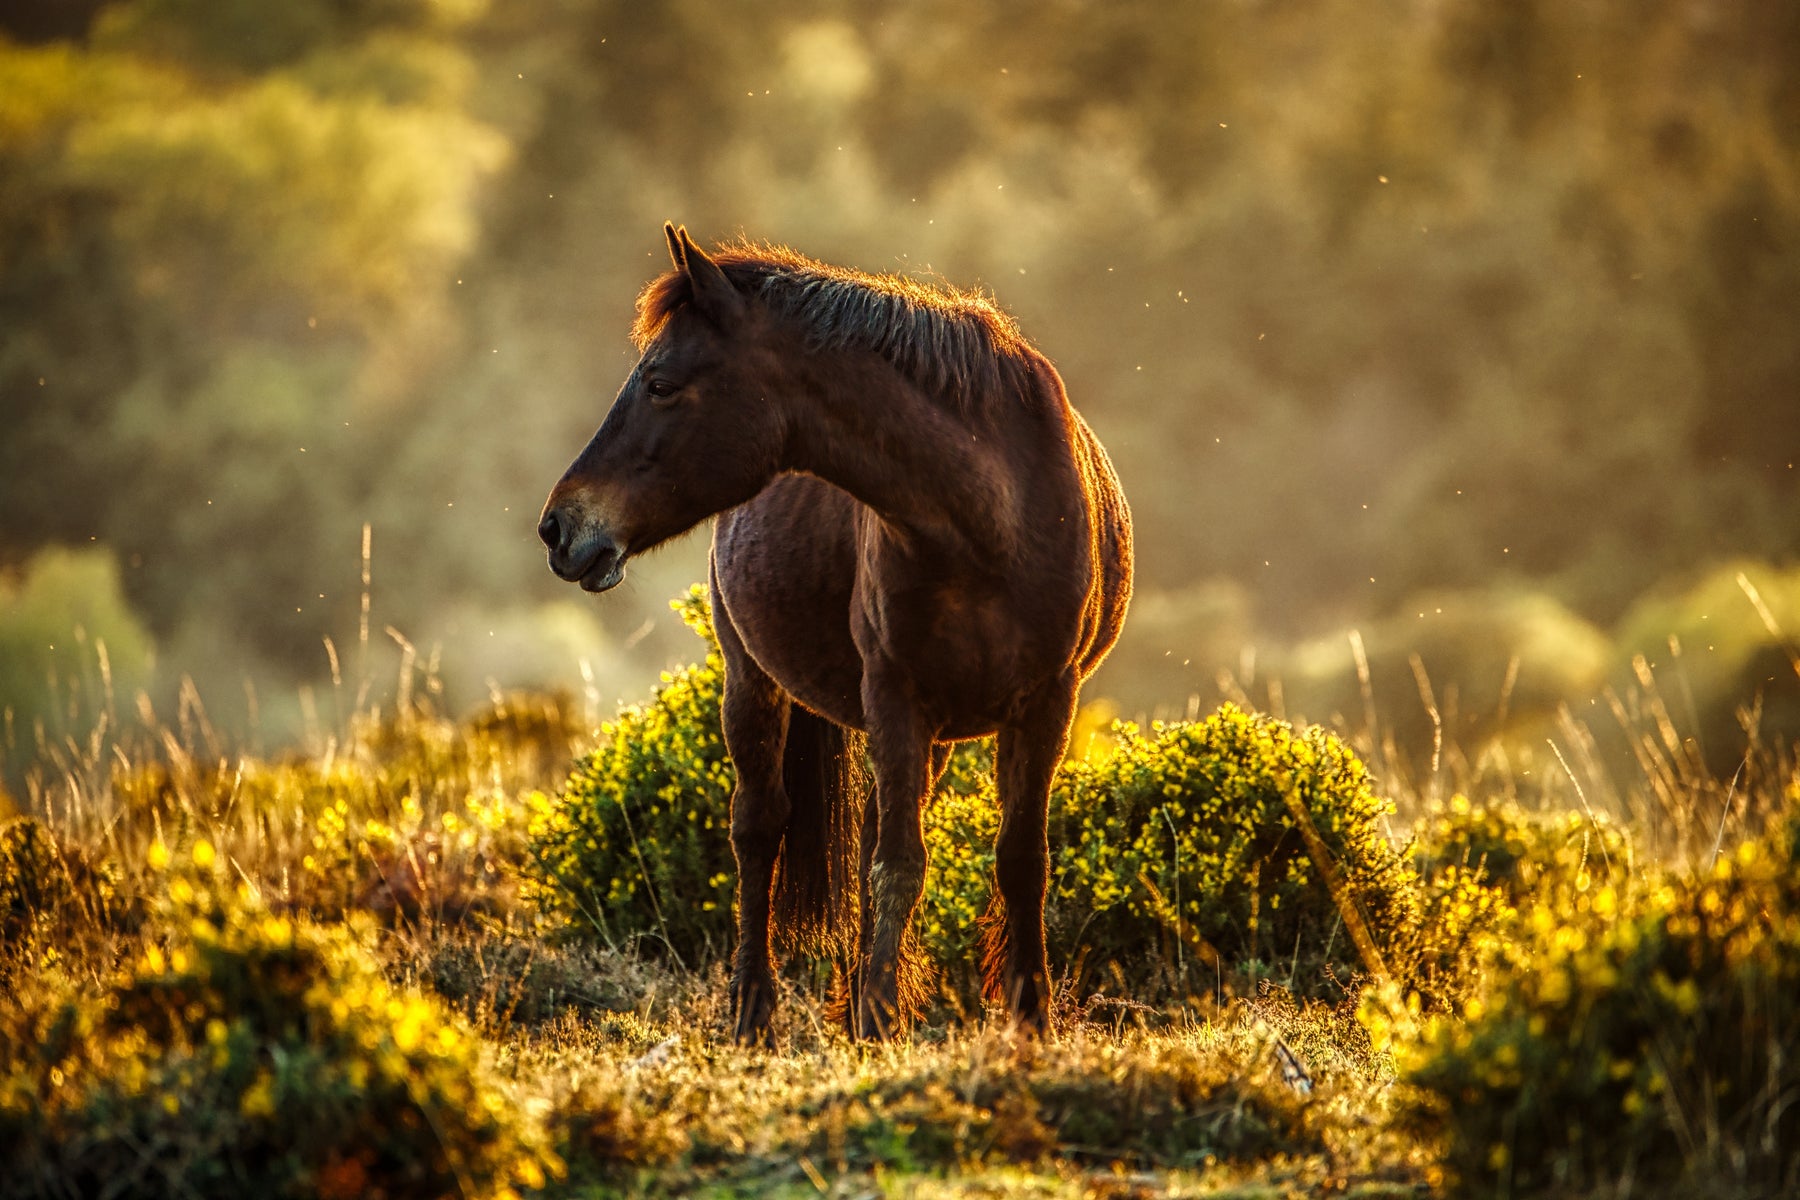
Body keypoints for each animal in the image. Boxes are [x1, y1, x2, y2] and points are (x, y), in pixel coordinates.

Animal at [539, 224, 1132, 1042]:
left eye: (660, 383)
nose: (559, 527)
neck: (993, 522)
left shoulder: (1046, 701)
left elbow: (1019, 861)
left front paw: (1029, 1017)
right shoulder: (896, 697)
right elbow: (900, 864)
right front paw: (879, 1018)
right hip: (753, 685)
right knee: (759, 830)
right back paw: (754, 1013)